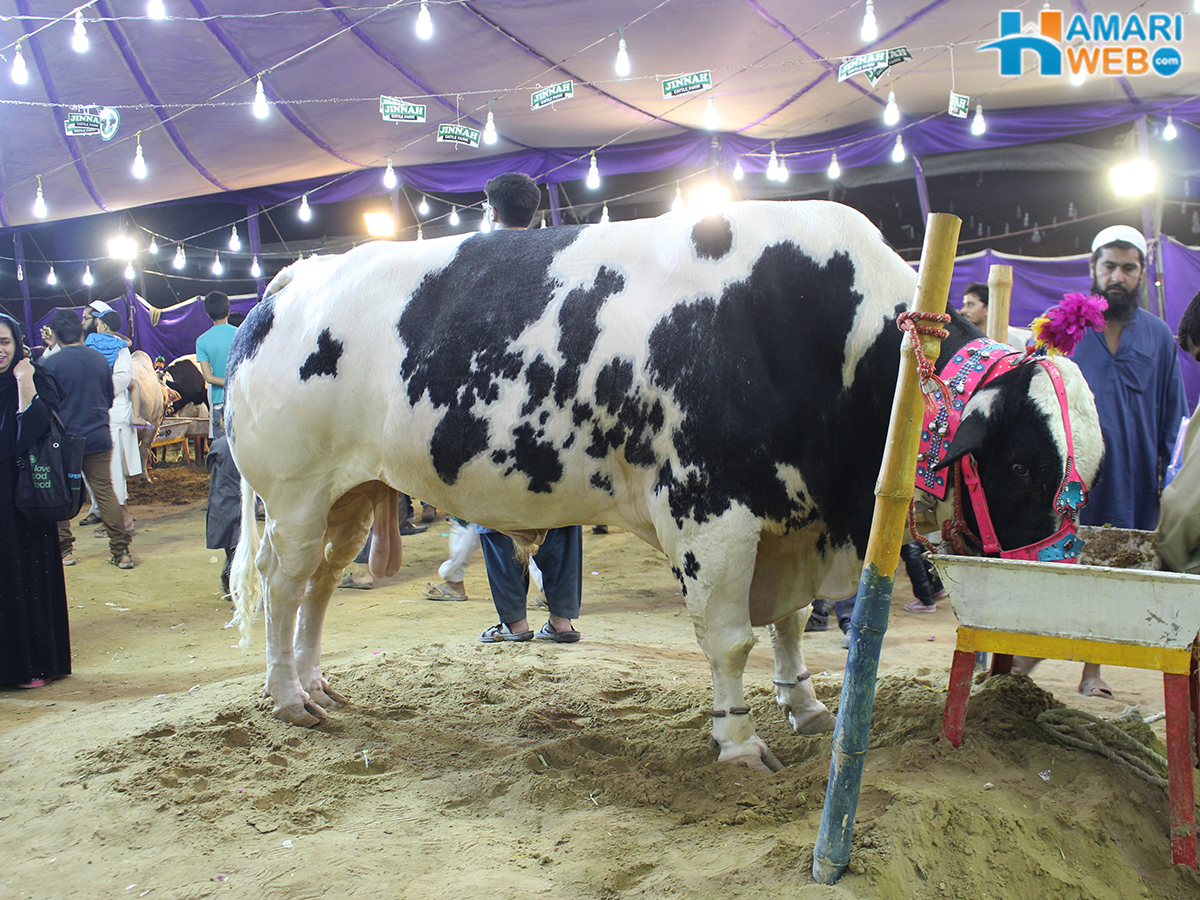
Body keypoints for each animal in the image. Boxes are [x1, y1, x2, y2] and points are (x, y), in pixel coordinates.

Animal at [227, 200, 1103, 772]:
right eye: (1021, 464)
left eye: (1086, 472)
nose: (1038, 635)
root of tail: (291, 281)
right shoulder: (711, 512)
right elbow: (731, 637)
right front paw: (739, 740)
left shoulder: (791, 519)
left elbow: (787, 624)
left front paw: (806, 705)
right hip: (295, 492)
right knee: (285, 582)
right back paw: (286, 697)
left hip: (351, 494)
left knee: (321, 584)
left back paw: (316, 682)